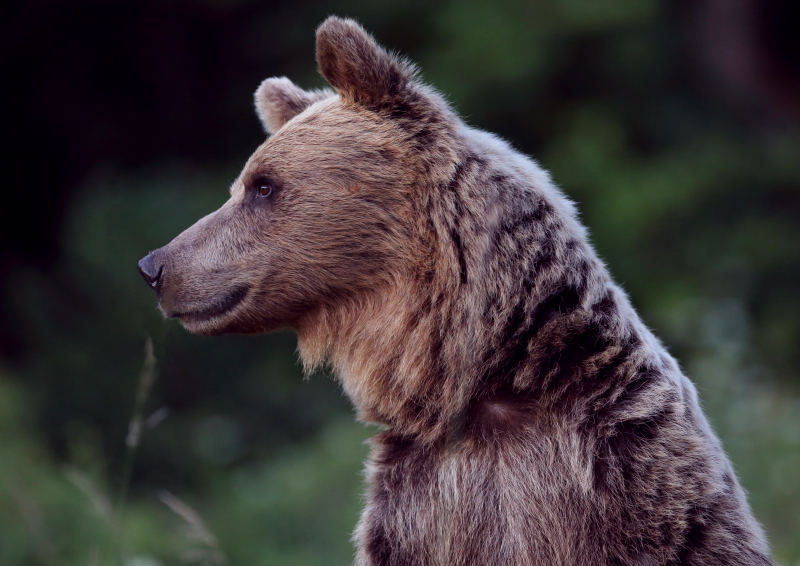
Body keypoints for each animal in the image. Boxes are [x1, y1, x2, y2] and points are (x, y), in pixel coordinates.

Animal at [138, 15, 776, 564]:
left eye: (263, 186)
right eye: (243, 184)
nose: (154, 265)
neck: (474, 380)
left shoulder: (624, 480)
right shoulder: (420, 507)